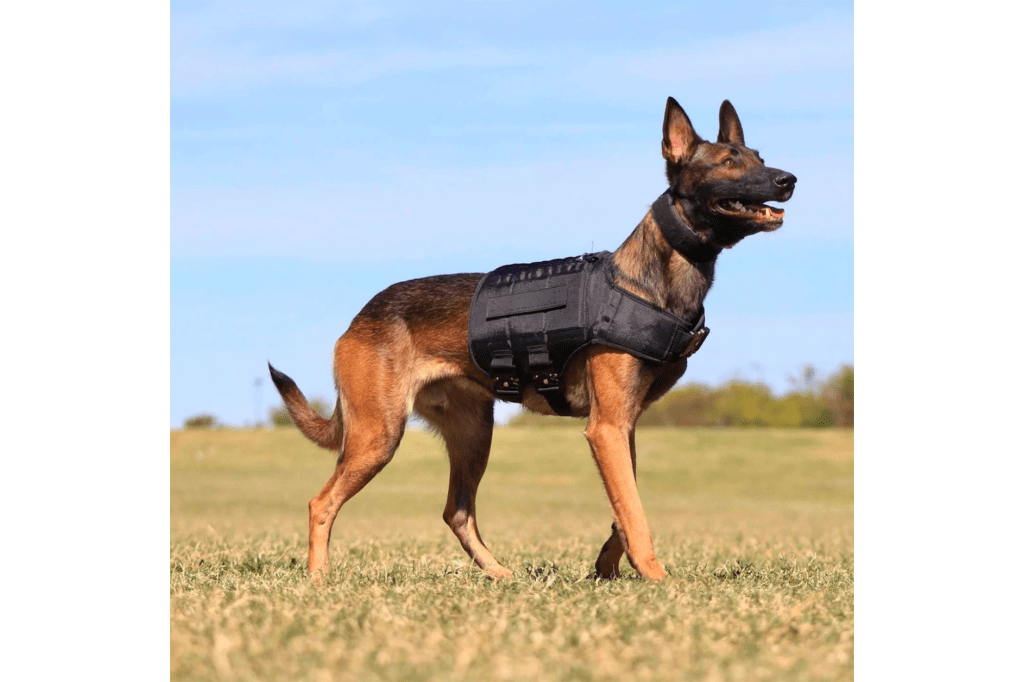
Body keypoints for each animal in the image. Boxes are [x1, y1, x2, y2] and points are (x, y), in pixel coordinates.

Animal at [268, 98, 794, 581]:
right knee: (321, 502)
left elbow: (623, 508)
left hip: (473, 433)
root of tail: (357, 319)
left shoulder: (622, 425)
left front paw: (608, 567)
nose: (788, 179)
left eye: (759, 156)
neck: (651, 281)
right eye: (728, 162)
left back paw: (500, 574)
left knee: (457, 511)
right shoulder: (607, 428)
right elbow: (634, 513)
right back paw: (319, 579)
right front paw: (657, 577)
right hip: (378, 435)